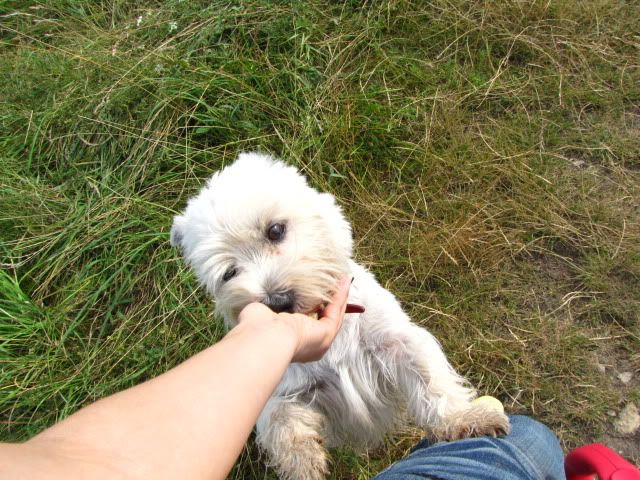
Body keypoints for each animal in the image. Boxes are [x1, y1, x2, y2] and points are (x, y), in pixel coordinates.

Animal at [170, 152, 509, 480]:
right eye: (229, 273)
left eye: (275, 230)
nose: (278, 302)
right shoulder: (286, 387)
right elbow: (282, 423)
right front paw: (303, 463)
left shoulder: (398, 342)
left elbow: (433, 383)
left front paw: (466, 418)